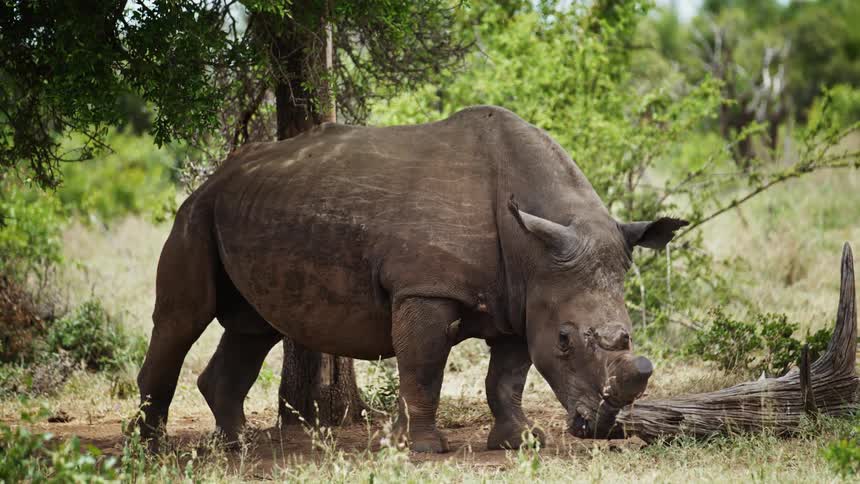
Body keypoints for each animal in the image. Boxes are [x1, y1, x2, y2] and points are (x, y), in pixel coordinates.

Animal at [137, 105, 686, 452]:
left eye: (630, 334)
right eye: (568, 340)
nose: (600, 429)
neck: (534, 249)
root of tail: (218, 175)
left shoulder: (525, 300)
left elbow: (506, 377)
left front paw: (521, 442)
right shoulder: (426, 289)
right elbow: (423, 367)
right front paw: (422, 448)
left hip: (247, 210)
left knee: (253, 328)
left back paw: (237, 447)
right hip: (196, 212)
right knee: (182, 320)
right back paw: (153, 450)